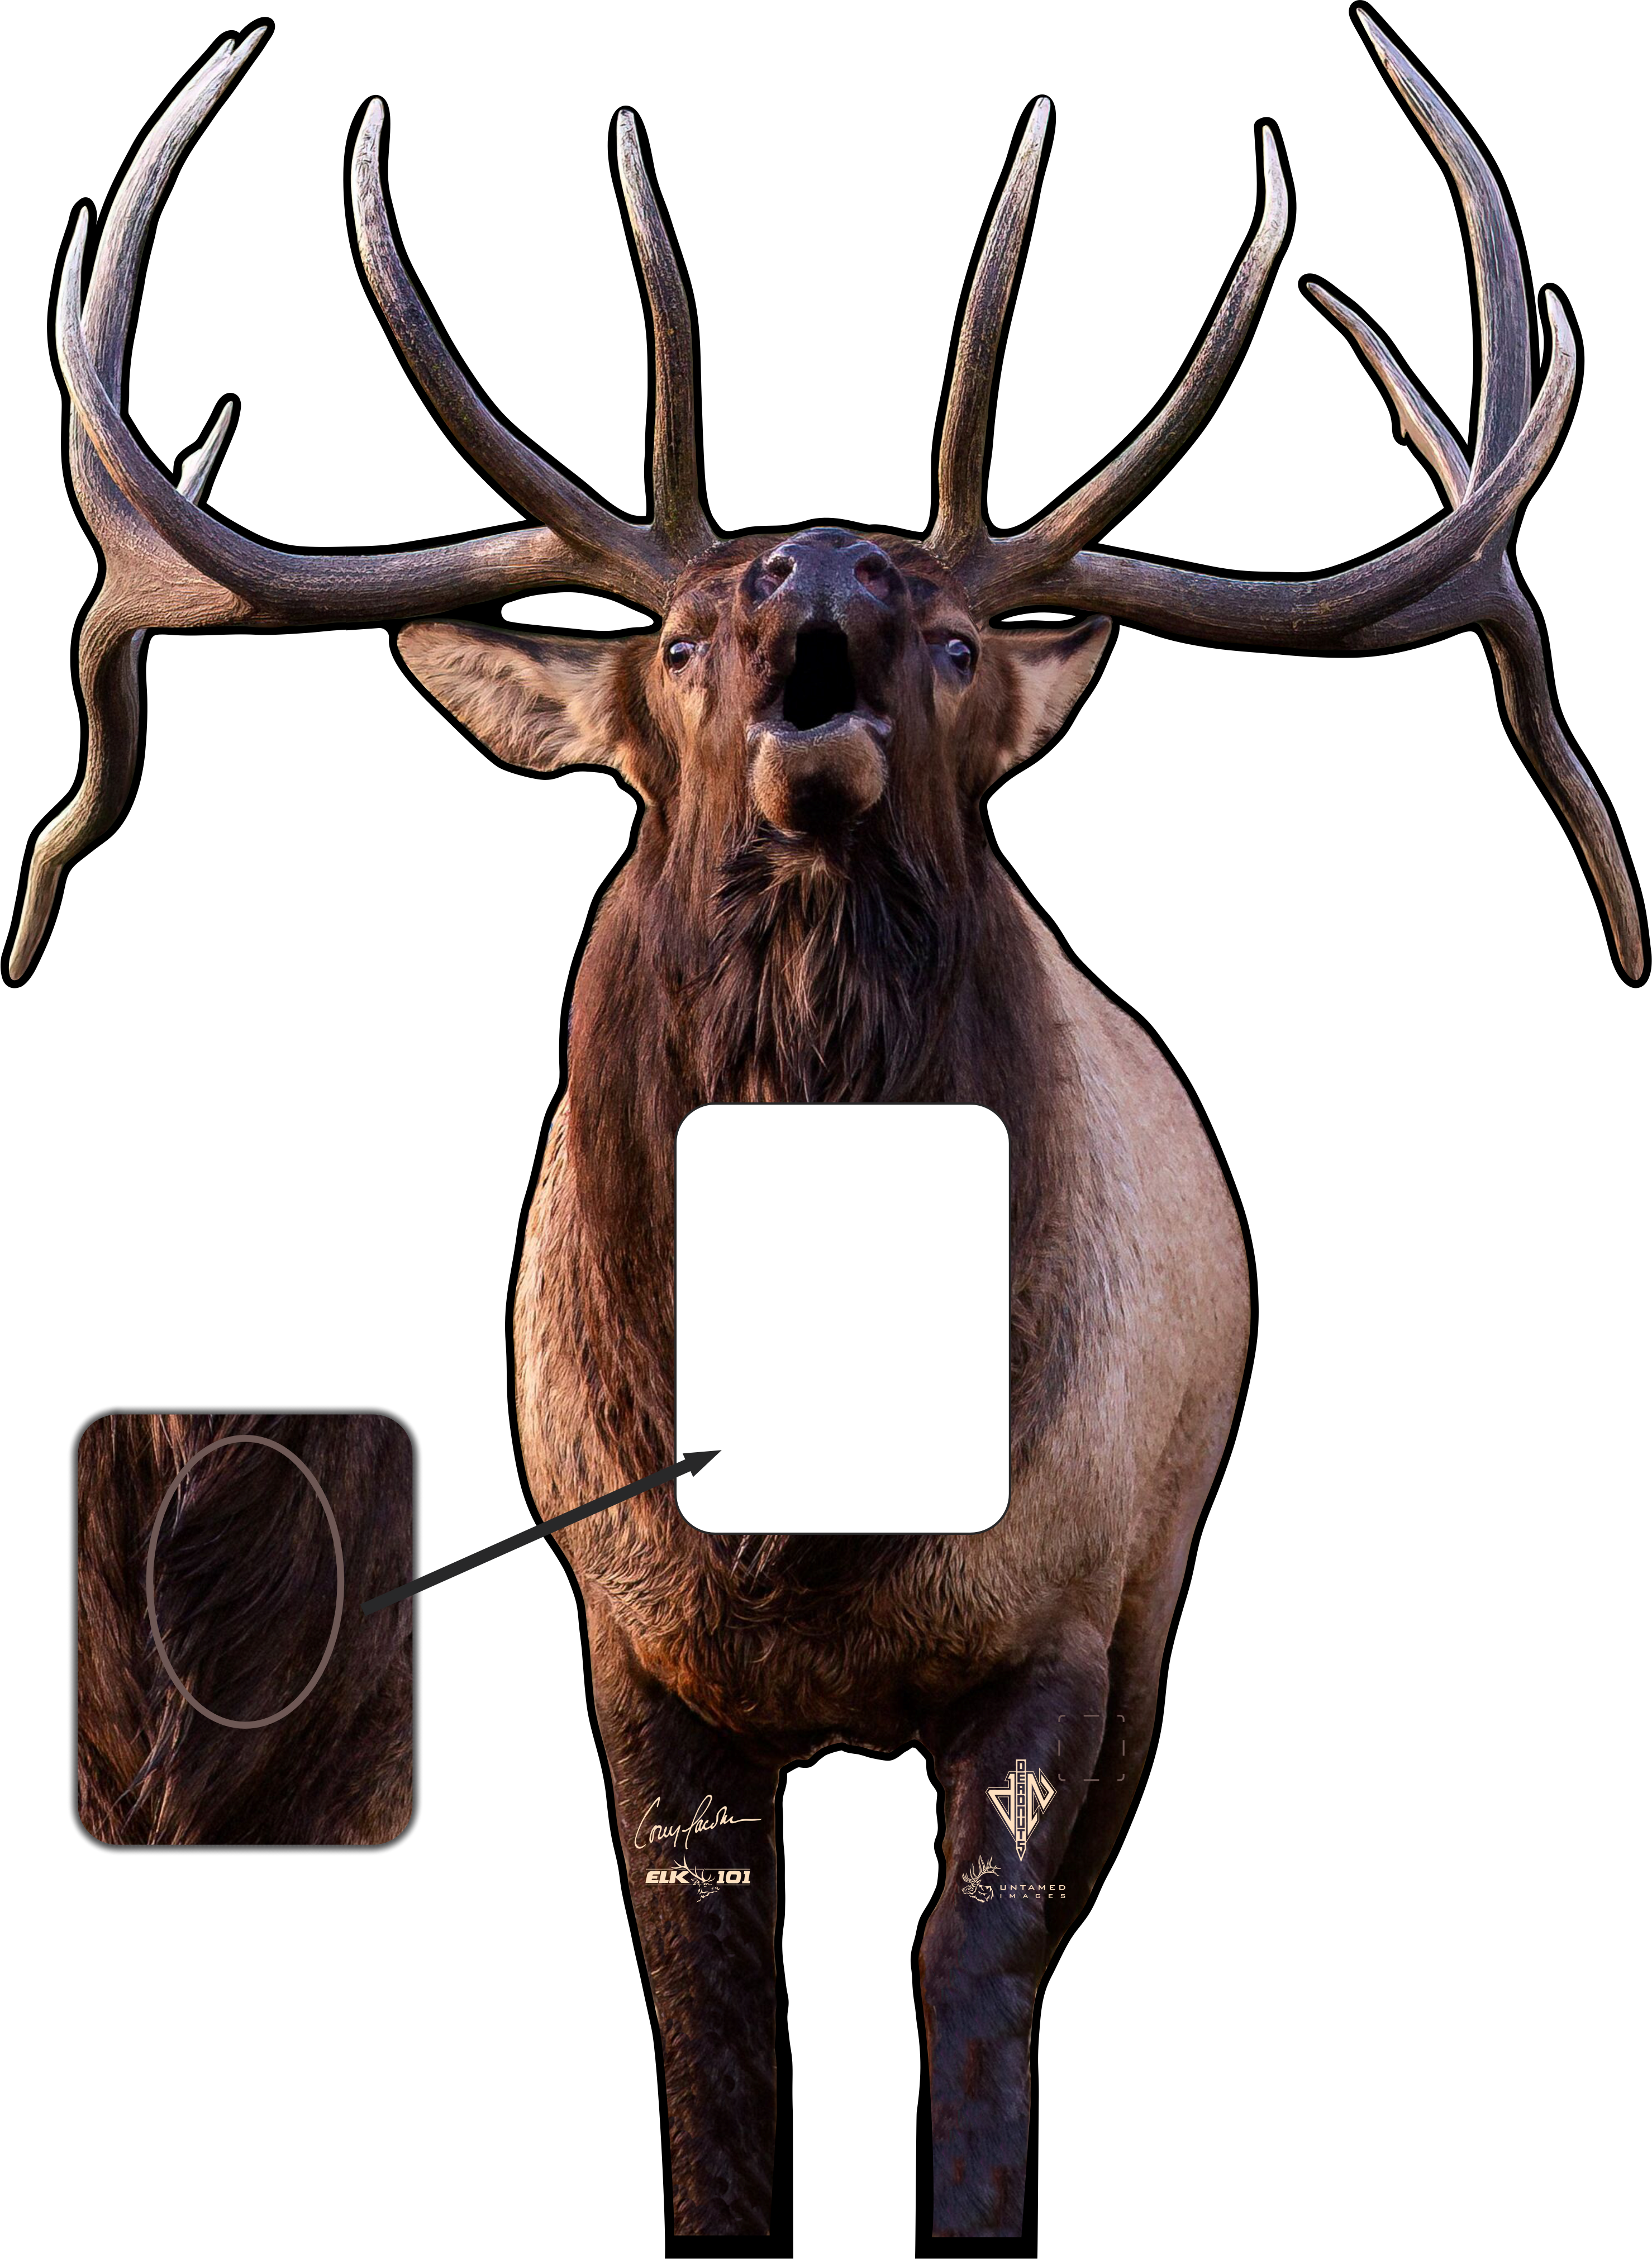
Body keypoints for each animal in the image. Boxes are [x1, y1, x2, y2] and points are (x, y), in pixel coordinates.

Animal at [9, 8, 1643, 2247]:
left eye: (949, 639)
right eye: (679, 642)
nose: (817, 634)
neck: (816, 1538)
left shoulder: (1067, 1620)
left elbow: (971, 2002)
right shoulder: (622, 1644)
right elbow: (712, 2046)